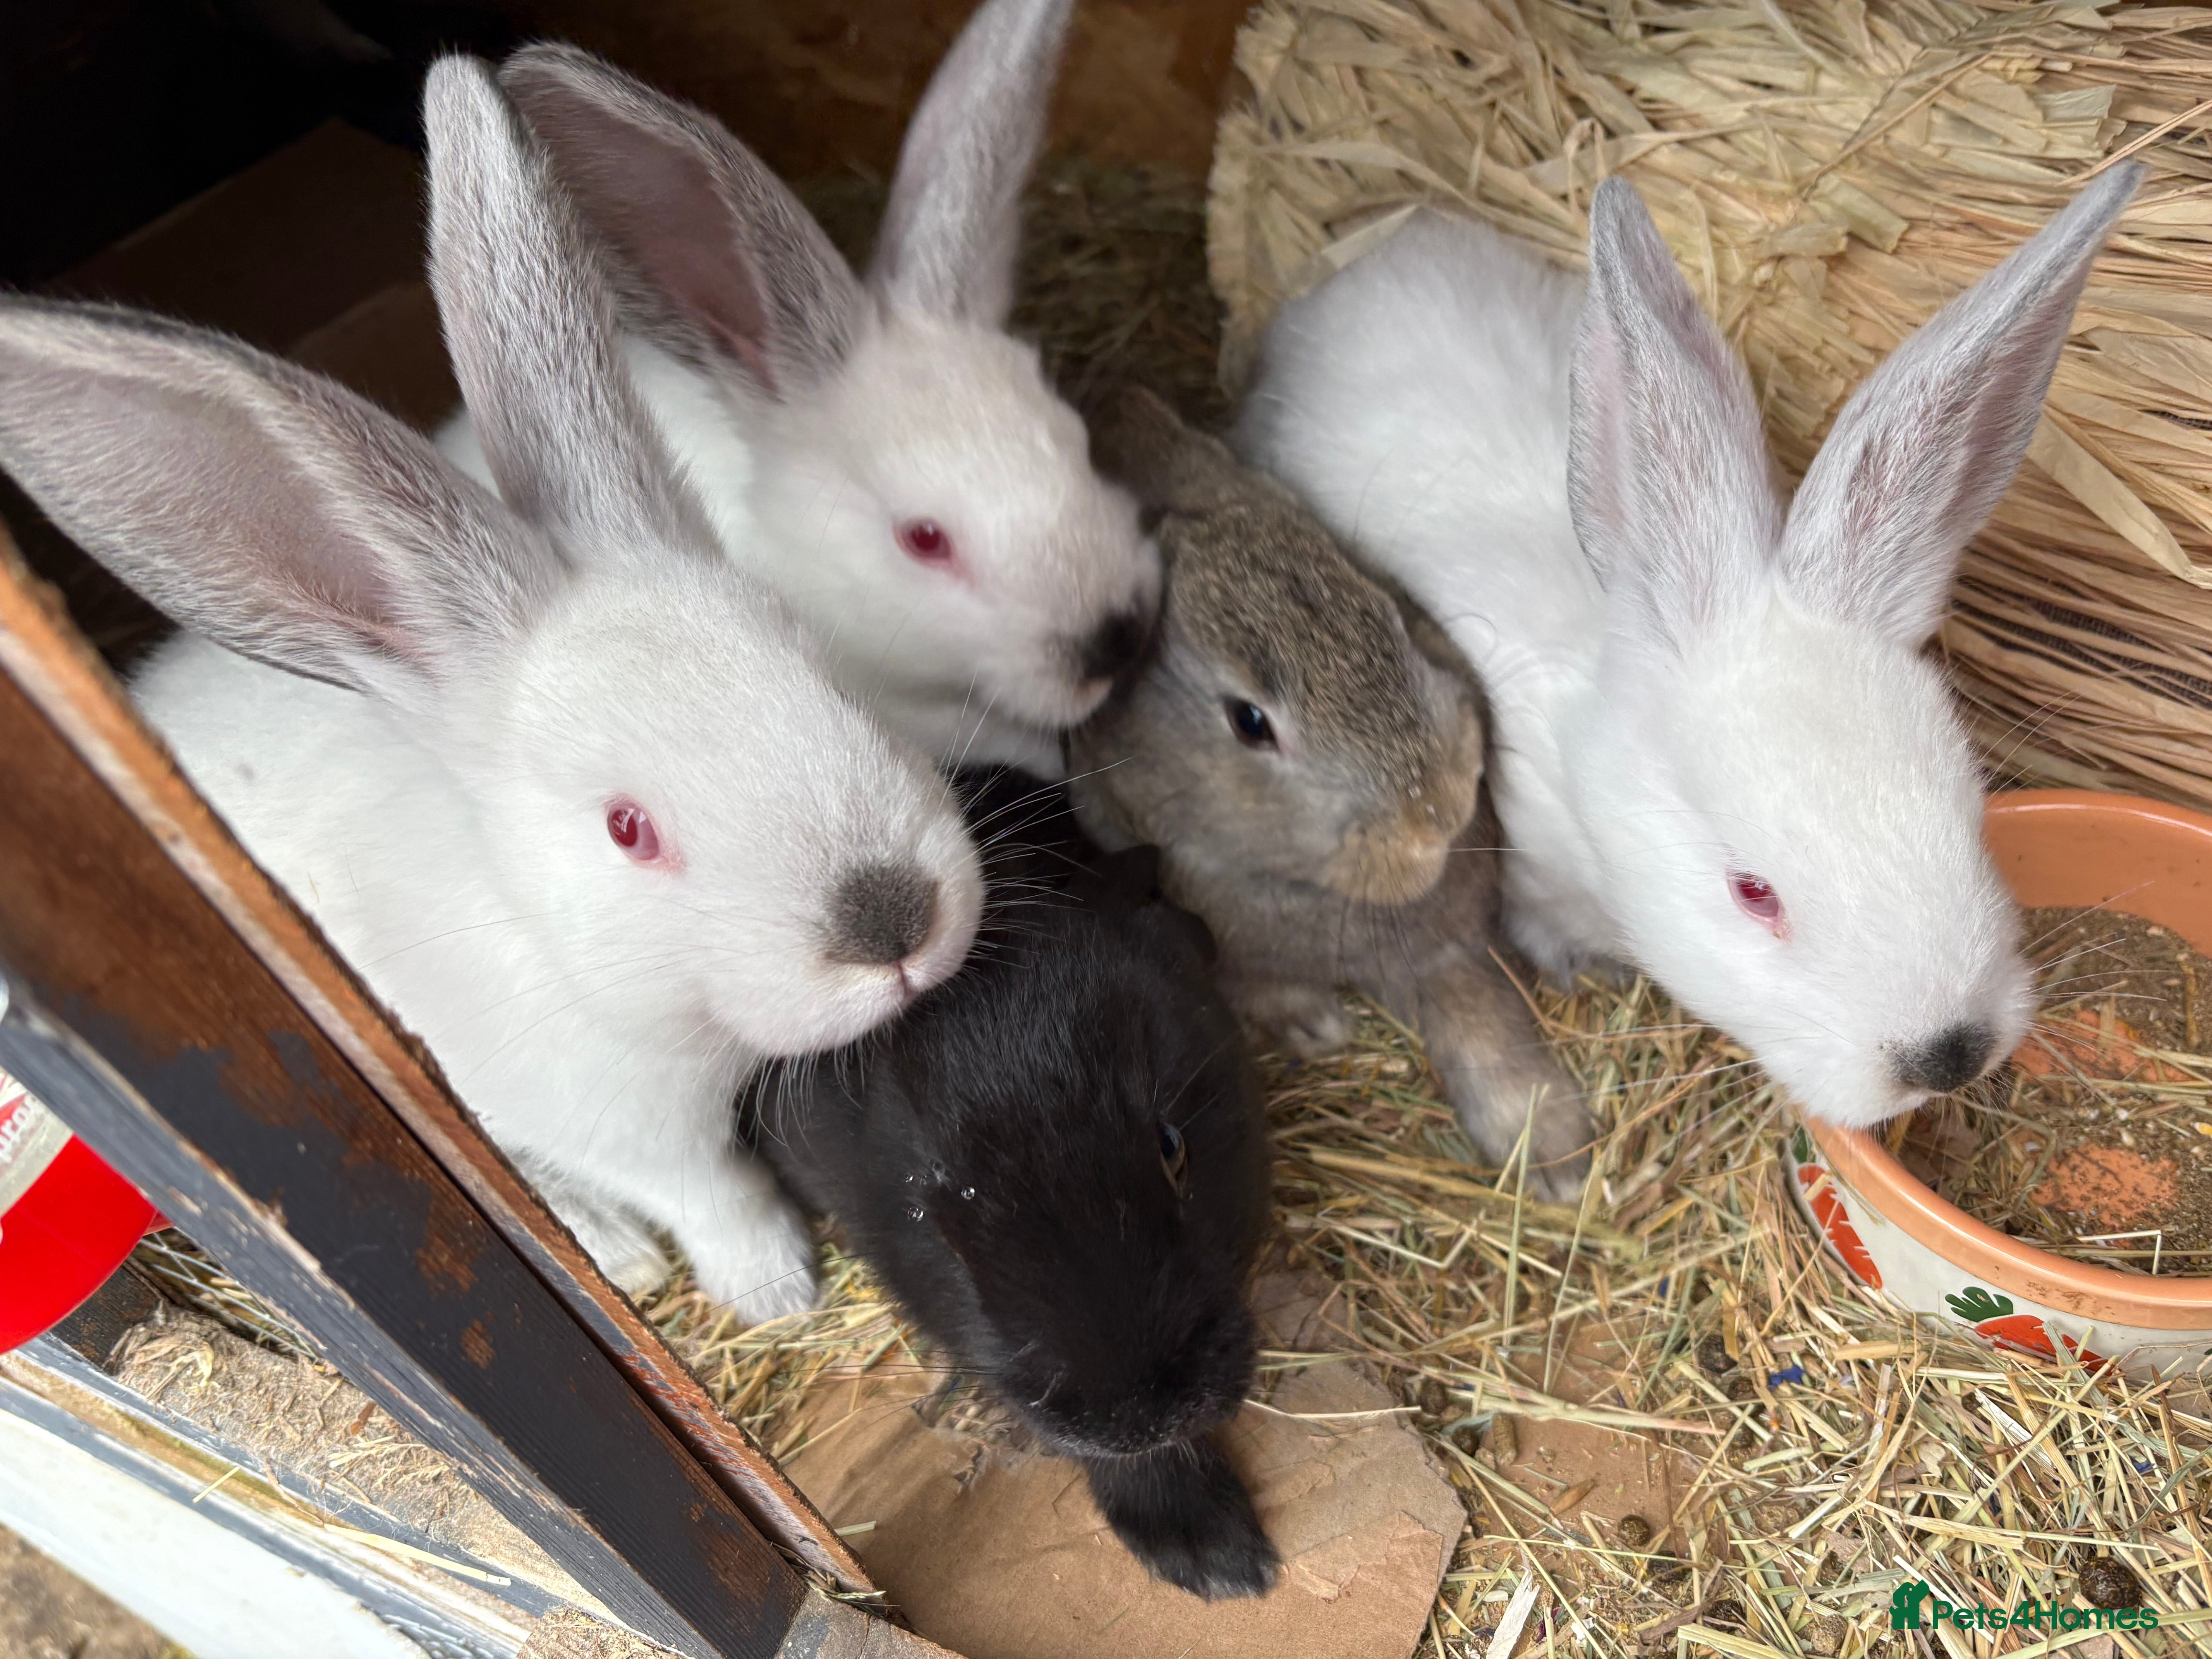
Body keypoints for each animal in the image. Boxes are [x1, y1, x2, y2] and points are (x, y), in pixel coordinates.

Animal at [0, 55, 984, 1321]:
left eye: (822, 673)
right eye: (627, 830)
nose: (892, 921)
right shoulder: (622, 1128)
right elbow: (717, 1196)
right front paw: (776, 1292)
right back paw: (615, 1253)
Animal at [1066, 388, 1591, 1197]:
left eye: (1384, 607)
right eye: (1250, 722)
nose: (1440, 809)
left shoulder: (1448, 947)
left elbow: (1482, 1016)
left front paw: (1558, 1152)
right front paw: (1314, 1026)